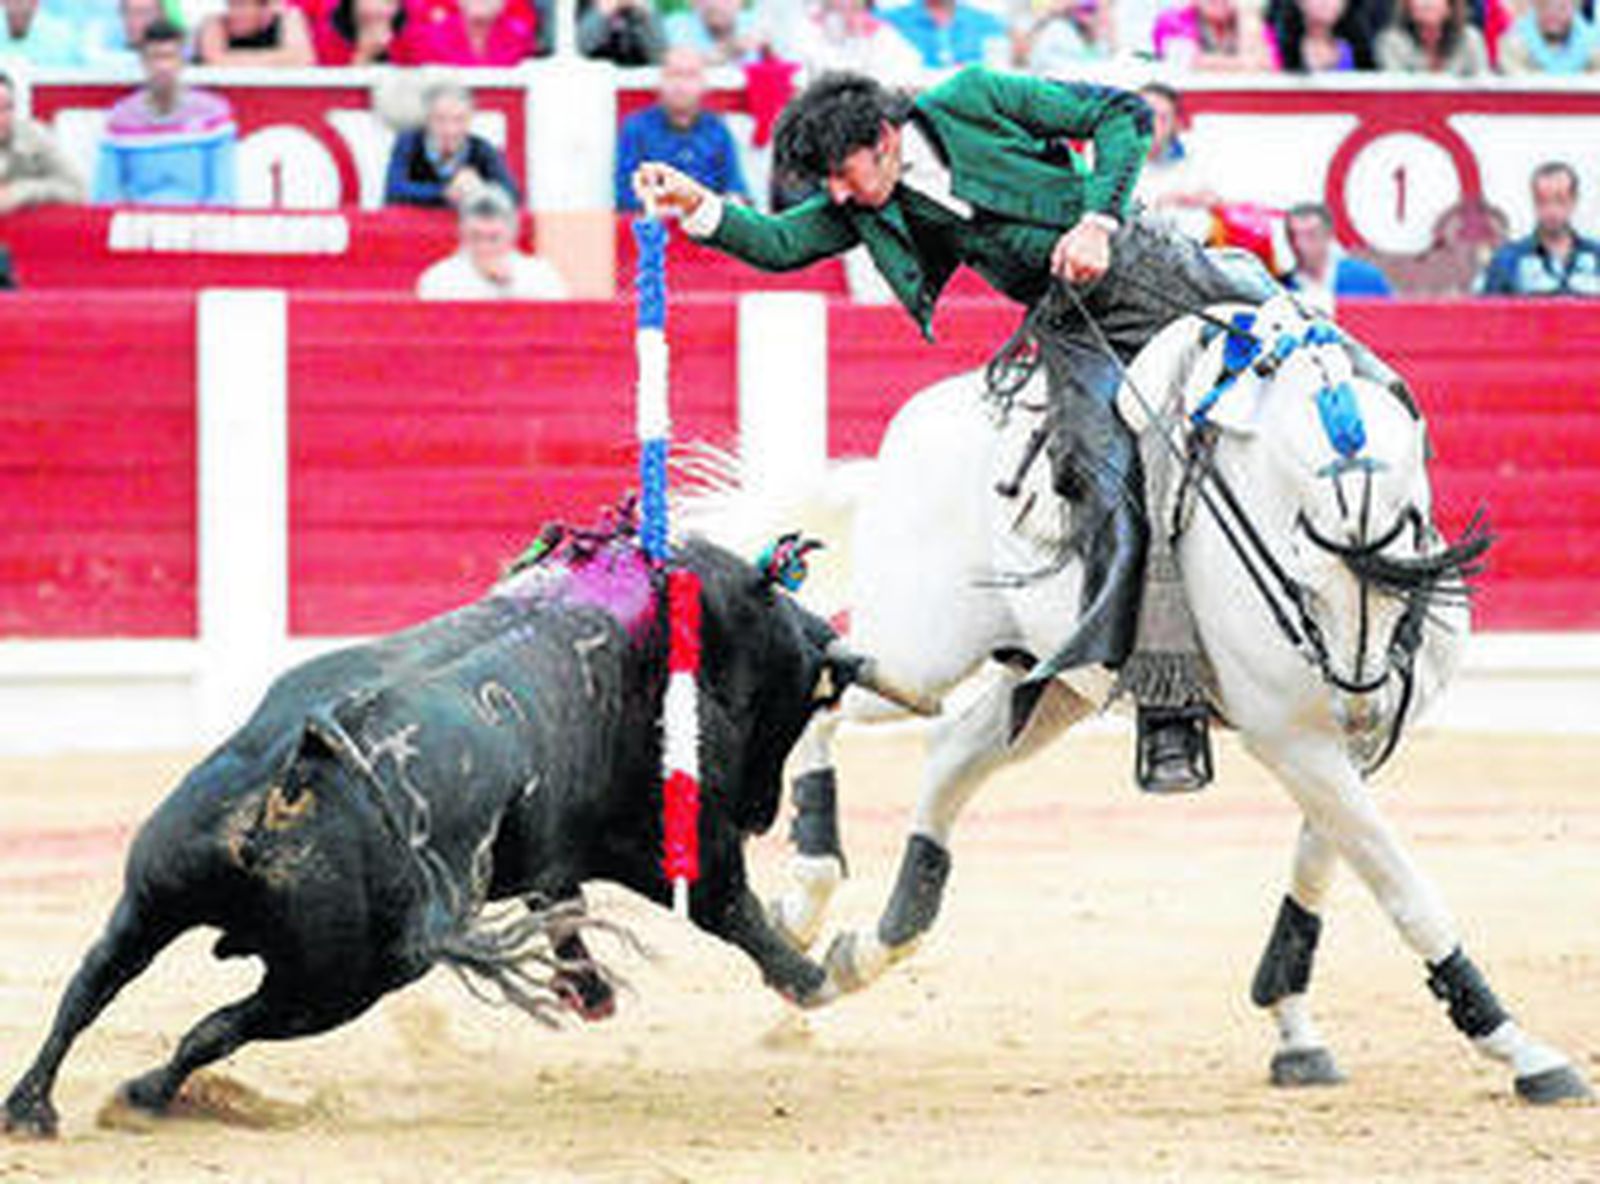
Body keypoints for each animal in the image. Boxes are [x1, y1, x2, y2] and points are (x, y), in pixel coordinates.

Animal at [3, 517, 915, 1138]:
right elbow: (732, 912)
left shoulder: (553, 842)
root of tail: (297, 772)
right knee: (216, 1026)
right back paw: (141, 1097)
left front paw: (590, 993)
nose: (763, 810)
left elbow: (563, 905)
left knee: (93, 982)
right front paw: (815, 977)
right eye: (804, 692)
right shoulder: (672, 844)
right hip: (341, 982)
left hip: (154, 893)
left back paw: (32, 1106)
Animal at [687, 294, 1592, 1105]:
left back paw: (863, 949)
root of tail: (913, 427)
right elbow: (1402, 886)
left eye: (1409, 576)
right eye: (1302, 577)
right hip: (924, 649)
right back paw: (807, 893)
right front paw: (1520, 1049)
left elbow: (1323, 864)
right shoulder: (1293, 738)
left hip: (1051, 684)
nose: (1362, 707)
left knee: (950, 755)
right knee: (832, 687)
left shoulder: (1339, 749)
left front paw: (1294, 1030)